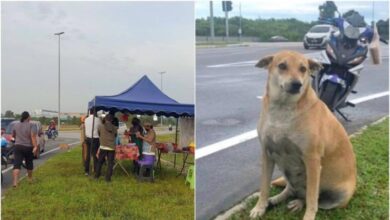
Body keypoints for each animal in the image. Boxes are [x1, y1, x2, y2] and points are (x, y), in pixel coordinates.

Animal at [250, 50, 356, 220]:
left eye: (303, 69)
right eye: (282, 66)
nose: (296, 84)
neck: (283, 108)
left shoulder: (312, 159)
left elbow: (312, 197)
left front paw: (308, 216)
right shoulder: (267, 153)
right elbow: (264, 186)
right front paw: (260, 207)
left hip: (339, 194)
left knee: (313, 198)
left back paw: (298, 203)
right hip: (288, 174)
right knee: (290, 189)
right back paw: (274, 200)